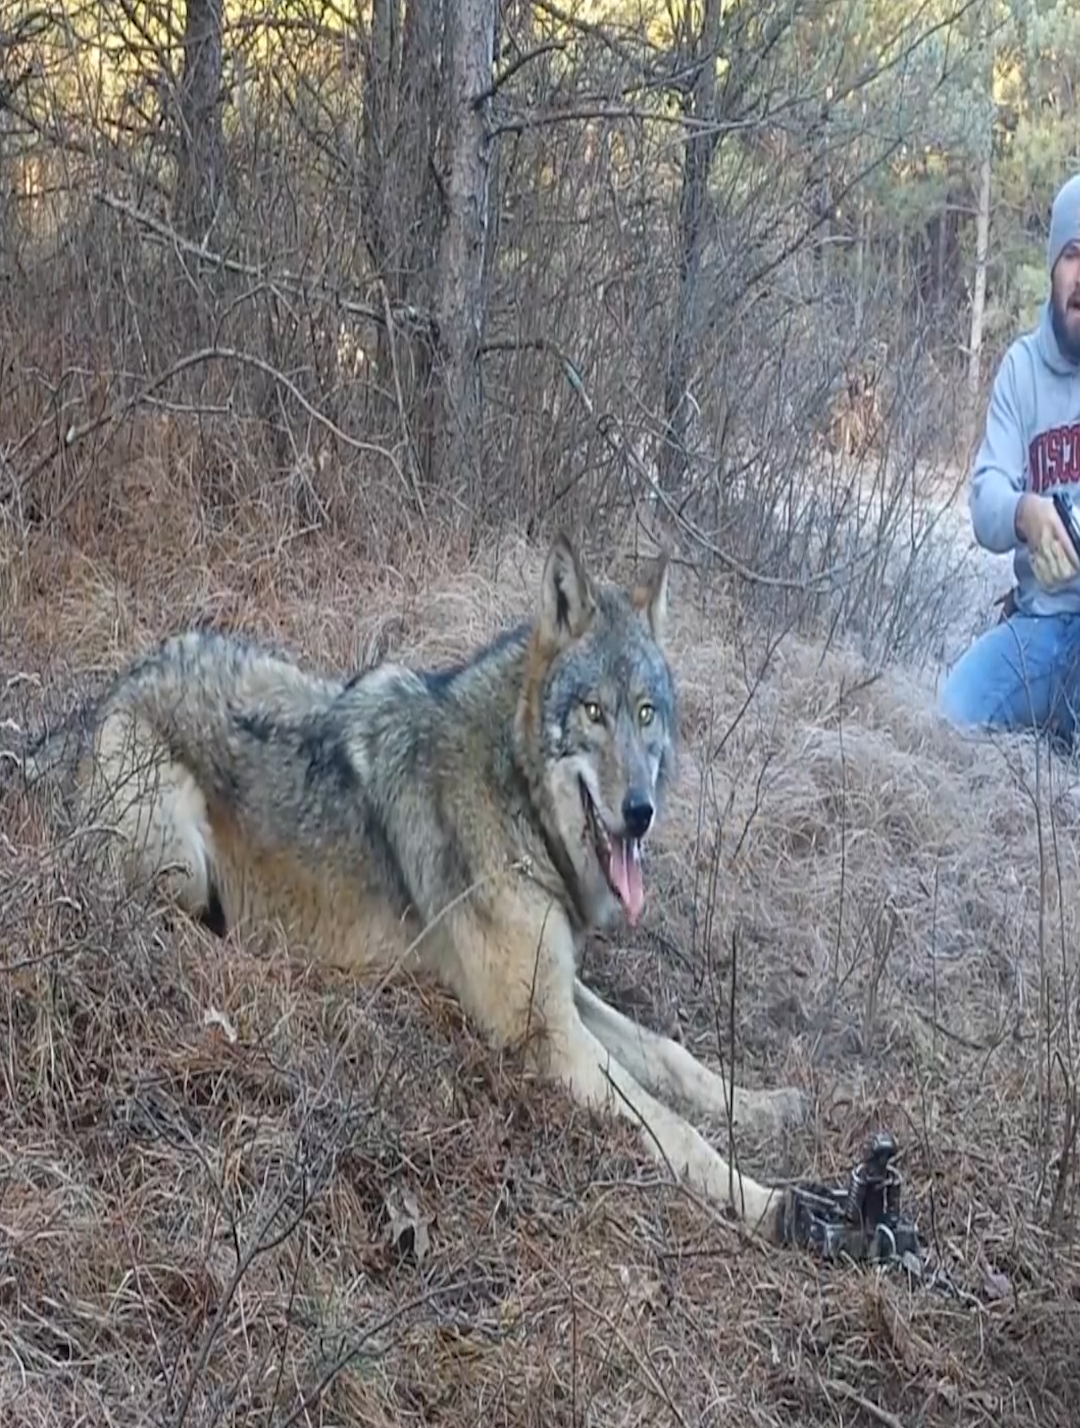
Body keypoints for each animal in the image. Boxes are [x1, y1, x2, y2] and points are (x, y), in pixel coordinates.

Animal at [12, 536, 805, 1239]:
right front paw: (770, 1203)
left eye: (646, 712)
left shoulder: (560, 989)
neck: (513, 791)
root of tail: (106, 696)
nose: (640, 811)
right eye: (593, 712)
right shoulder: (541, 1030)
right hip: (180, 861)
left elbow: (673, 1055)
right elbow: (672, 1125)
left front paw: (767, 1106)